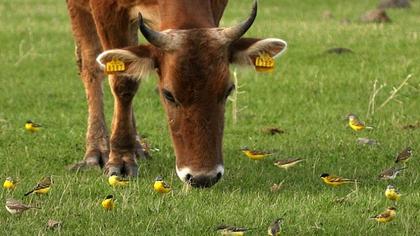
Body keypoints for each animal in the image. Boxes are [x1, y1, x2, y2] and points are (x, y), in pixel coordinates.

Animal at [65, 0, 288, 188]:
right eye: (168, 94)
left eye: (228, 90)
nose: (202, 177)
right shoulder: (107, 9)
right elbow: (123, 81)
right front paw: (120, 158)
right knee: (90, 63)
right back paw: (97, 149)